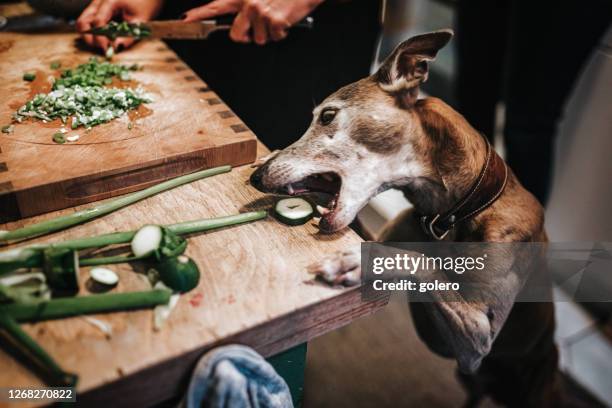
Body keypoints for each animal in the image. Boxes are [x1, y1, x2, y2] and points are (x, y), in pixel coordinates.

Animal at [249, 29, 560, 408]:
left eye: (327, 115)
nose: (257, 177)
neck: (452, 215)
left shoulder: (479, 337)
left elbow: (420, 262)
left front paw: (356, 263)